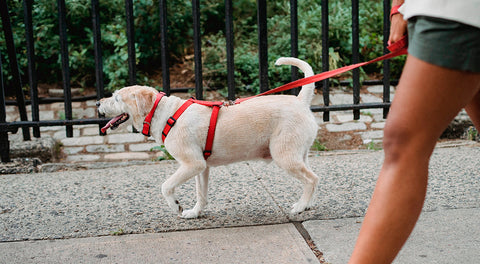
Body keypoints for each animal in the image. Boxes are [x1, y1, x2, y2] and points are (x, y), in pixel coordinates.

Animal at [97, 57, 318, 219]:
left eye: (116, 98)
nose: (98, 103)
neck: (165, 113)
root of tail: (301, 101)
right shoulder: (201, 168)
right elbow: (201, 194)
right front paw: (194, 213)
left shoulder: (192, 164)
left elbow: (166, 186)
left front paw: (175, 206)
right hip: (299, 155)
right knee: (311, 178)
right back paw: (306, 205)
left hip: (285, 156)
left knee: (312, 179)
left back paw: (300, 206)